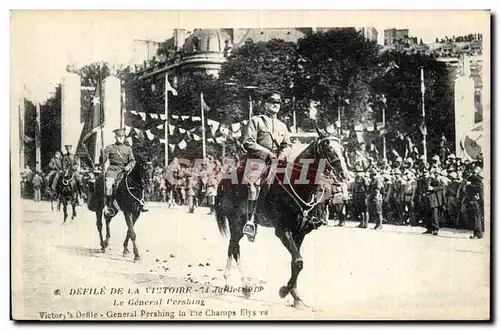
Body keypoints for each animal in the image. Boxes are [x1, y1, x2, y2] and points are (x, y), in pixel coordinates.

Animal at [214, 127, 348, 308]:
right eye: (327, 147)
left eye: (341, 148)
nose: (344, 174)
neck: (298, 186)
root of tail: (225, 179)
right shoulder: (282, 231)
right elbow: (298, 261)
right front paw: (285, 291)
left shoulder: (300, 232)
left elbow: (295, 262)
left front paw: (296, 296)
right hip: (237, 222)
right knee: (234, 247)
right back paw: (241, 284)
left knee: (233, 247)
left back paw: (234, 283)